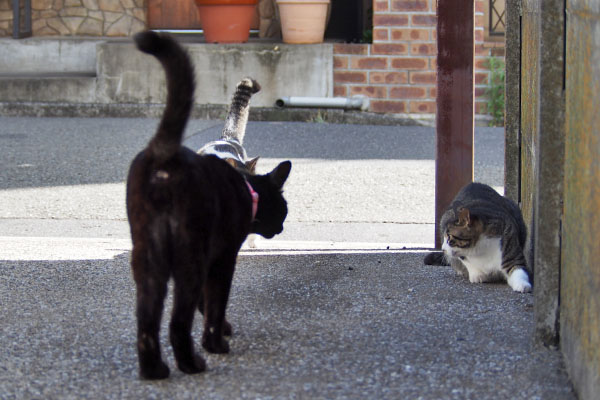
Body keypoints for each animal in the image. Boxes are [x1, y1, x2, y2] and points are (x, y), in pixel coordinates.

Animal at [127, 30, 292, 378]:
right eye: (282, 212)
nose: (282, 229)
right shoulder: (221, 259)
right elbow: (215, 304)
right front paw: (217, 338)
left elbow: (207, 304)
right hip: (189, 257)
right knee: (177, 322)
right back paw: (192, 362)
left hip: (149, 260)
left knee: (147, 323)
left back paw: (155, 369)